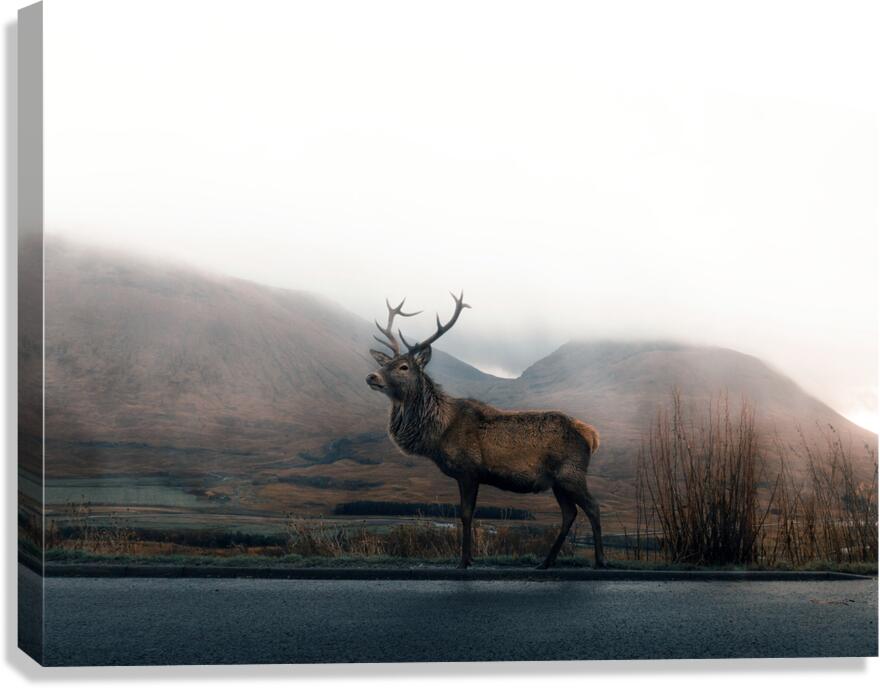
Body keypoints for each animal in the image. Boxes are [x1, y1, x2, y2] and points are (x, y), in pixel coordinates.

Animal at [365, 292, 605, 570]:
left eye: (404, 367)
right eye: (387, 363)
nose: (372, 377)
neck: (438, 434)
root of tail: (592, 435)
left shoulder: (468, 469)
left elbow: (466, 514)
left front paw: (463, 561)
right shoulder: (471, 475)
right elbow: (468, 514)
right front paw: (468, 558)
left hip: (571, 473)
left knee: (593, 507)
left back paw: (599, 561)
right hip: (558, 480)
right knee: (570, 513)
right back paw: (546, 562)